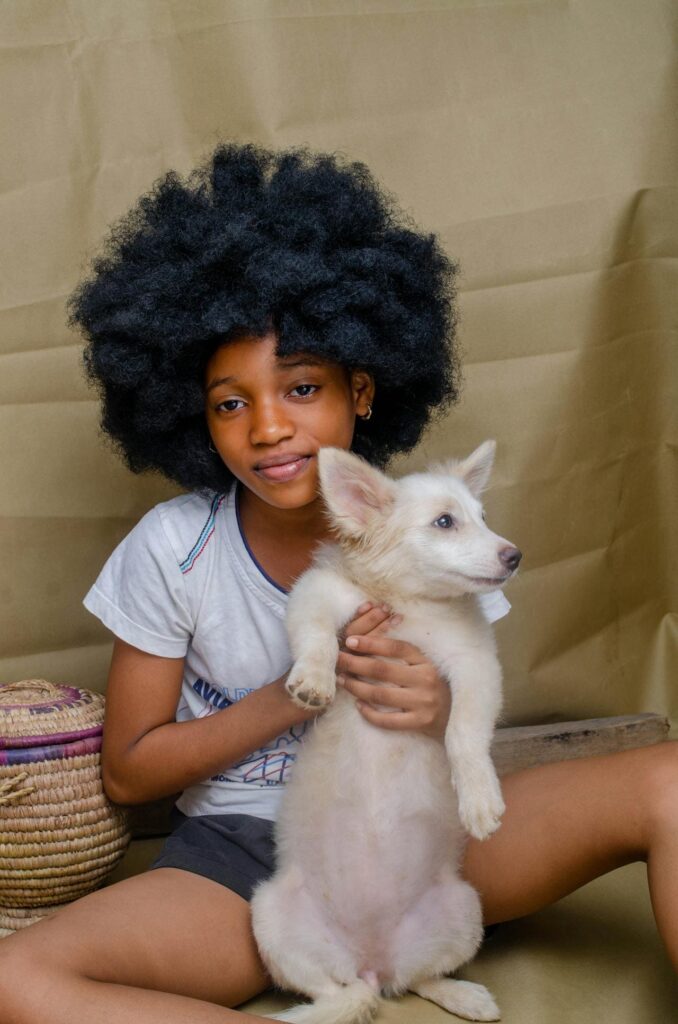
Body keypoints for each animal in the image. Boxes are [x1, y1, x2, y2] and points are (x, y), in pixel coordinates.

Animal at [251, 442, 522, 1024]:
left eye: (483, 518)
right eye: (445, 522)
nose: (515, 556)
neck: (414, 605)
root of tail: (371, 959)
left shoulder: (476, 666)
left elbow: (464, 732)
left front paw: (479, 800)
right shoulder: (320, 595)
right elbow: (316, 636)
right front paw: (314, 678)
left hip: (464, 909)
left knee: (417, 979)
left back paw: (466, 996)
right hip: (270, 917)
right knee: (340, 994)